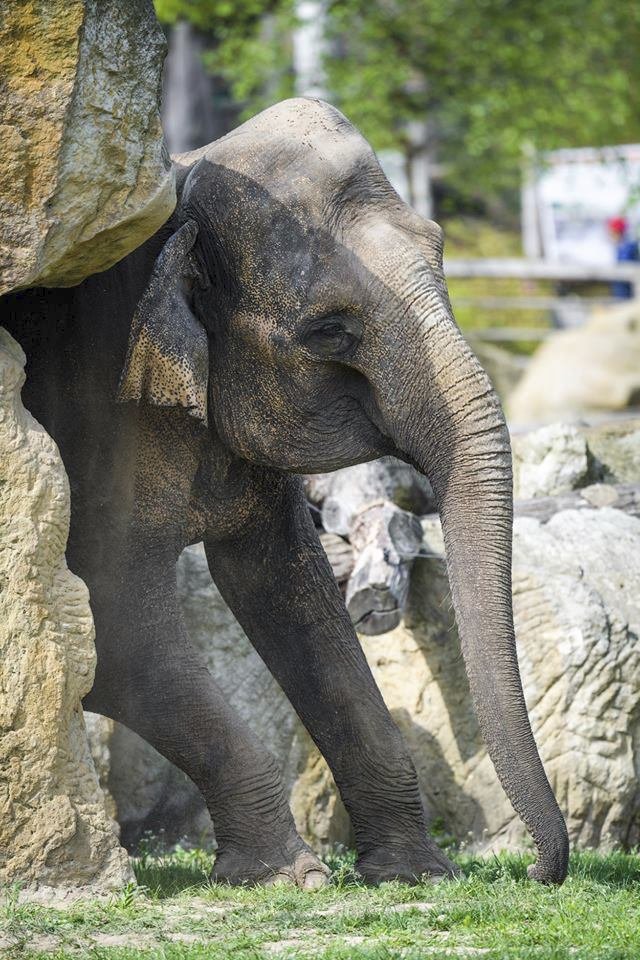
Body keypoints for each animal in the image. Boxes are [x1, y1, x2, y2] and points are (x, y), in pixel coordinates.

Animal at [1, 95, 568, 884]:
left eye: (439, 247)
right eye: (329, 331)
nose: (542, 872)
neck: (182, 192)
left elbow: (291, 592)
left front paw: (414, 872)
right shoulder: (100, 408)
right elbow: (111, 625)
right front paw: (288, 874)